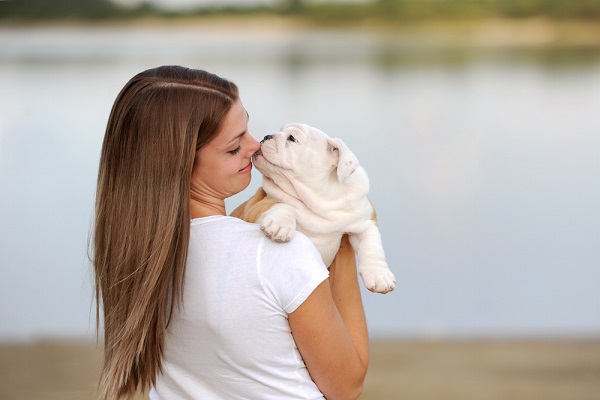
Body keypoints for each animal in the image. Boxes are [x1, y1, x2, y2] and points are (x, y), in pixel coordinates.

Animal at [232, 122, 396, 294]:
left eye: (292, 138)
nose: (266, 136)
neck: (319, 199)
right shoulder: (253, 206)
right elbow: (284, 204)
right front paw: (279, 224)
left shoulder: (365, 219)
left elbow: (371, 244)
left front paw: (379, 275)